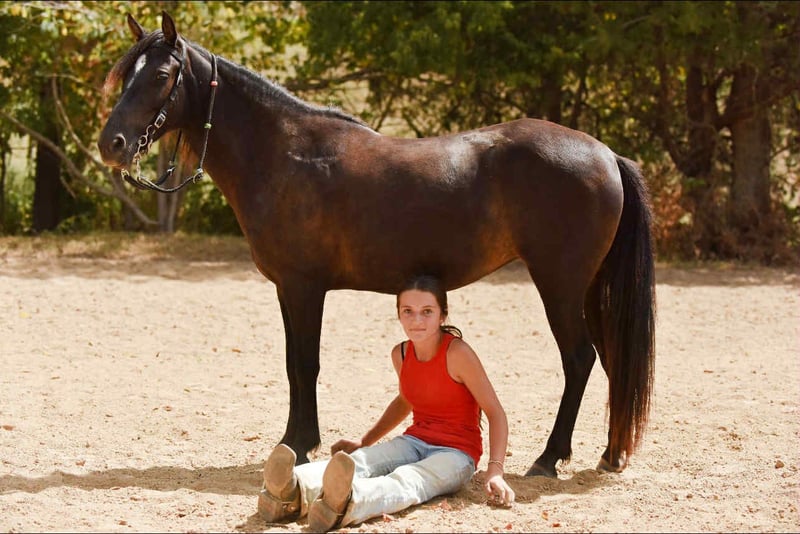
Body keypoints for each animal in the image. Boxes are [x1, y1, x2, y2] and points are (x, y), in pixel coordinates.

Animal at [97, 12, 656, 478]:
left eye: (162, 76)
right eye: (126, 76)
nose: (112, 145)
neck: (285, 153)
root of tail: (605, 153)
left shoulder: (304, 288)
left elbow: (305, 363)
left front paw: (298, 445)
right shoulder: (286, 289)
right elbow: (293, 362)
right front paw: (299, 440)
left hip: (558, 284)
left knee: (579, 358)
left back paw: (548, 458)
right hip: (588, 288)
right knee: (610, 360)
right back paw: (610, 455)